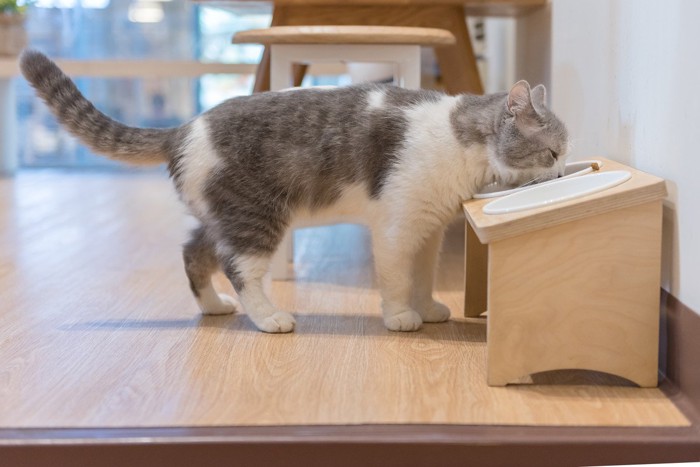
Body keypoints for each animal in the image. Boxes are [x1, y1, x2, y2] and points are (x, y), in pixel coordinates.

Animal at [20, 51, 568, 334]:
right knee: (241, 270)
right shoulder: (397, 227)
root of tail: (185, 127)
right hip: (256, 219)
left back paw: (213, 306)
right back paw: (268, 318)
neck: (462, 146)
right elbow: (395, 279)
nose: (565, 171)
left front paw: (429, 306)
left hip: (223, 217)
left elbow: (423, 275)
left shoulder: (428, 230)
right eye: (553, 154)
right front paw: (400, 317)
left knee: (194, 254)